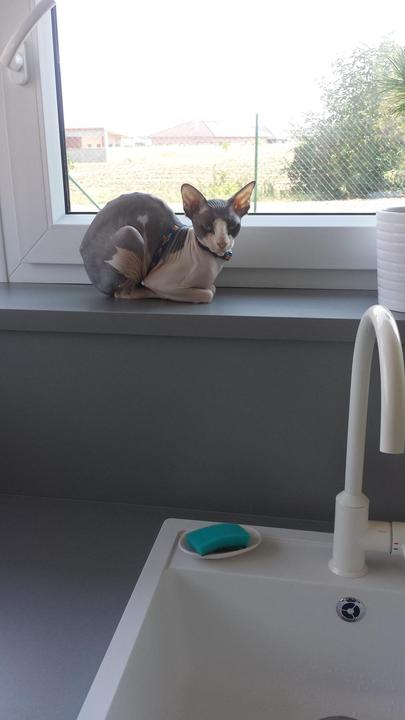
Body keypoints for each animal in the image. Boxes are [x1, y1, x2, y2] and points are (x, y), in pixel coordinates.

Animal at [80, 181, 255, 303]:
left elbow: (212, 288)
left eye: (232, 226)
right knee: (121, 293)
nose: (222, 242)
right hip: (130, 233)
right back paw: (149, 292)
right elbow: (208, 293)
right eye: (206, 226)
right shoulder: (160, 281)